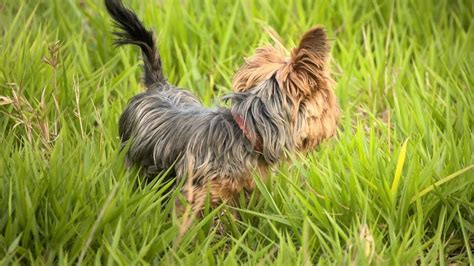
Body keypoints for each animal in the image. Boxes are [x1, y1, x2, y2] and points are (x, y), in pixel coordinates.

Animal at [105, 0, 338, 211]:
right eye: (329, 106)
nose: (336, 123)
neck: (247, 132)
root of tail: (158, 86)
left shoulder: (245, 188)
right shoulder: (195, 193)